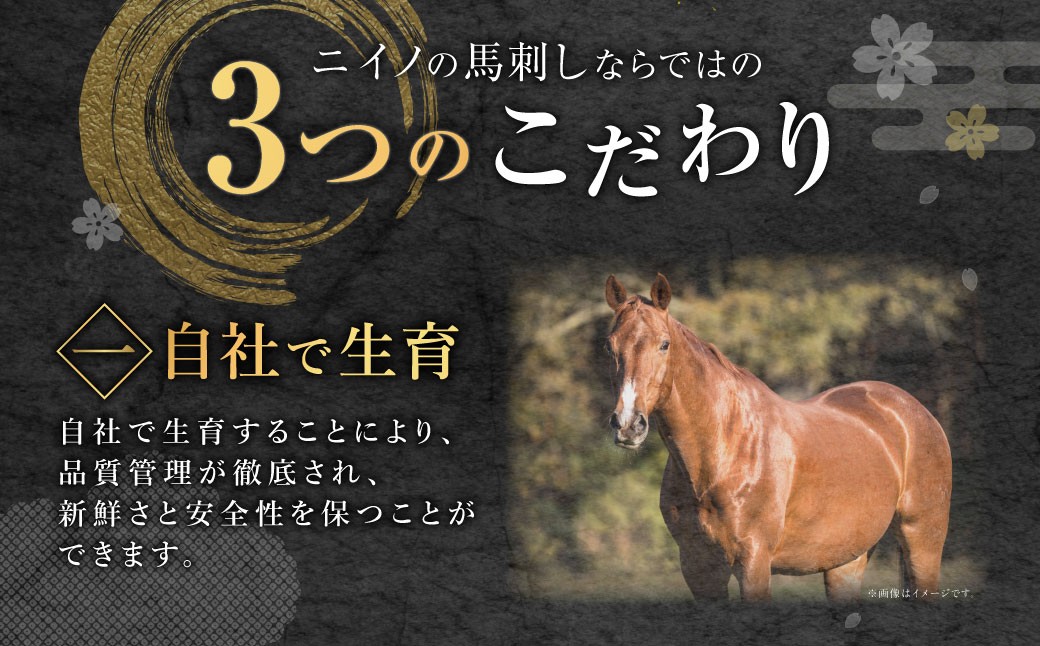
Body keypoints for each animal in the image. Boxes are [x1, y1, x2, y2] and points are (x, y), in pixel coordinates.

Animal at [604, 273, 952, 602]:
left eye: (664, 344)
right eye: (610, 347)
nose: (628, 424)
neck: (725, 449)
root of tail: (915, 411)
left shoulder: (754, 561)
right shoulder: (698, 566)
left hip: (921, 540)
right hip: (846, 561)